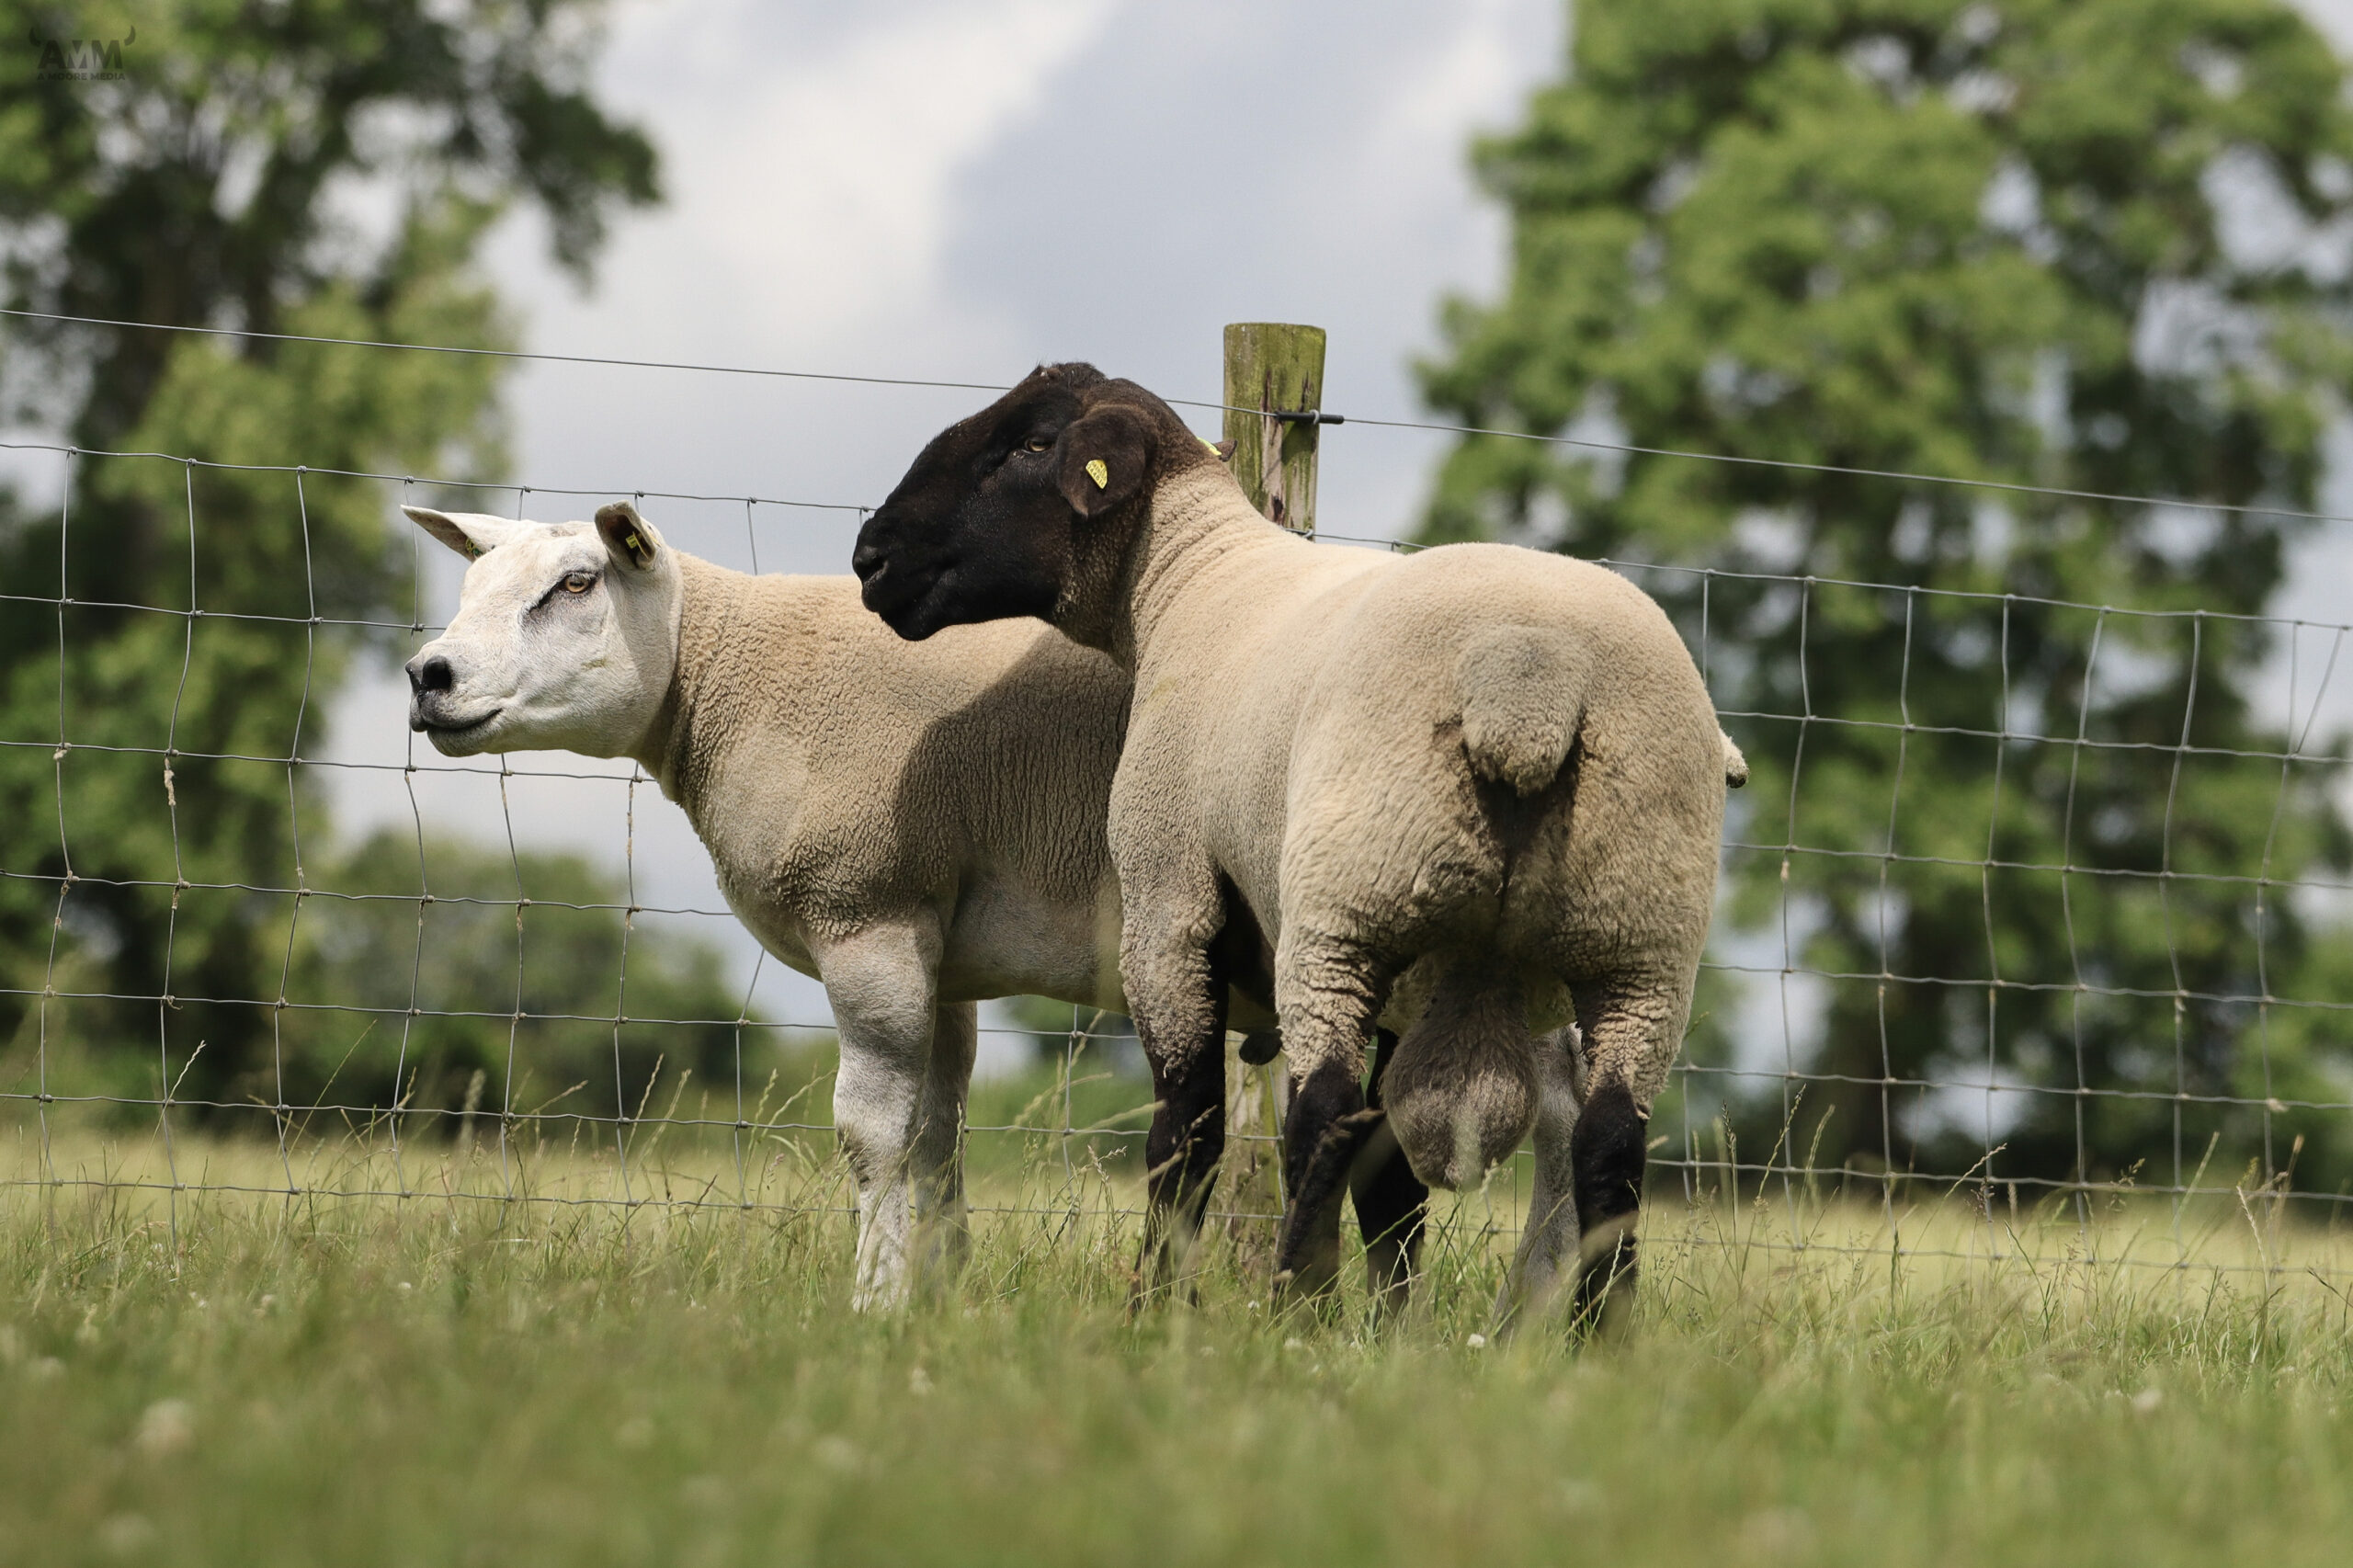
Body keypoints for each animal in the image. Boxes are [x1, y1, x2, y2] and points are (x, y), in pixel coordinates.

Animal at [847, 369, 1732, 1327]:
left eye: (1030, 445)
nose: (870, 559)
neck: (1185, 580)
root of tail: (1532, 685)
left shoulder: (1168, 897)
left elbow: (1189, 1130)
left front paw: (1155, 1305)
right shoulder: (1418, 973)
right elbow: (1392, 1183)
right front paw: (1393, 1327)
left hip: (1351, 903)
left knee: (1323, 1113)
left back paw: (1292, 1307)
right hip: (1637, 936)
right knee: (1609, 1140)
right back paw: (1597, 1338)